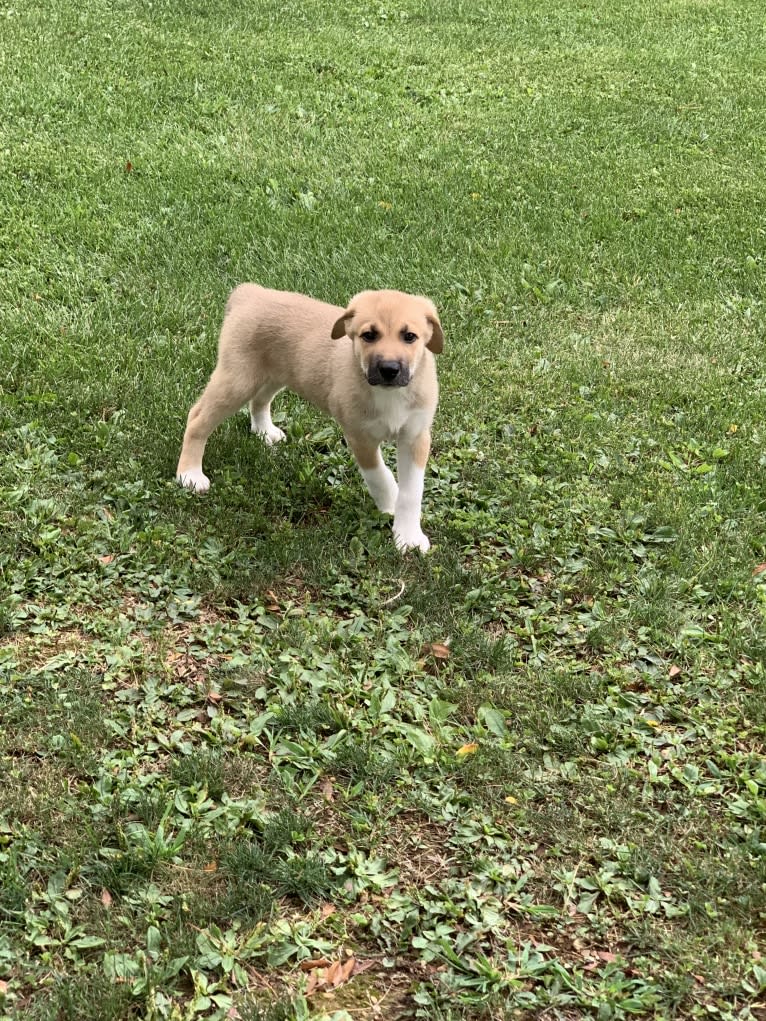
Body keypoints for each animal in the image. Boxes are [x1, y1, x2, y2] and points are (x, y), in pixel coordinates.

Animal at [175, 283, 443, 555]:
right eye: (368, 335)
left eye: (409, 336)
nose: (389, 369)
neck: (389, 394)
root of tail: (250, 292)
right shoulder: (359, 436)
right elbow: (378, 476)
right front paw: (390, 504)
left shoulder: (415, 437)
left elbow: (412, 492)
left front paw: (408, 536)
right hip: (237, 380)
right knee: (197, 419)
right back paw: (190, 474)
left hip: (274, 374)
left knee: (259, 401)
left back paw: (264, 431)